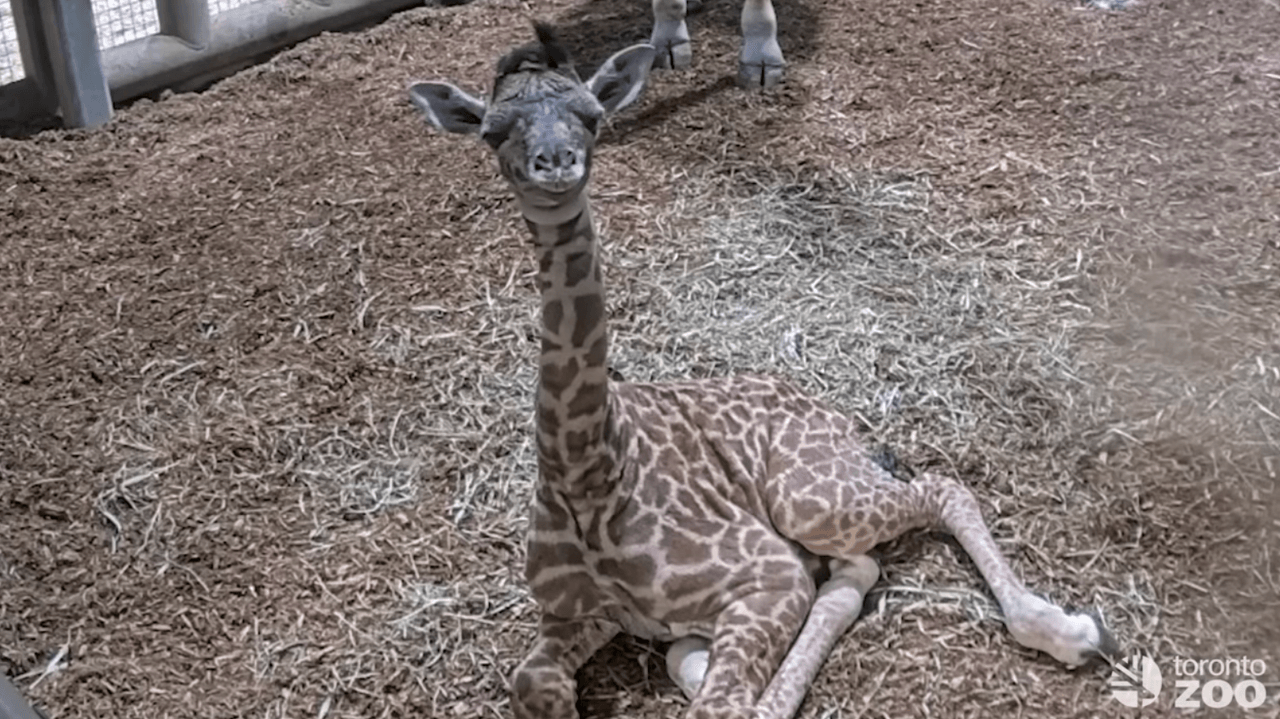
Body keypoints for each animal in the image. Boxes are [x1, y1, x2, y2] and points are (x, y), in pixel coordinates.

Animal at [407, 23, 1117, 719]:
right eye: (492, 131)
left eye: (592, 117)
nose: (555, 165)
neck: (588, 476)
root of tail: (839, 419)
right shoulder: (577, 613)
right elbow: (535, 682)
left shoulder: (768, 575)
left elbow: (724, 705)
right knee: (851, 572)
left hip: (808, 500)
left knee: (940, 491)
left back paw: (1073, 633)